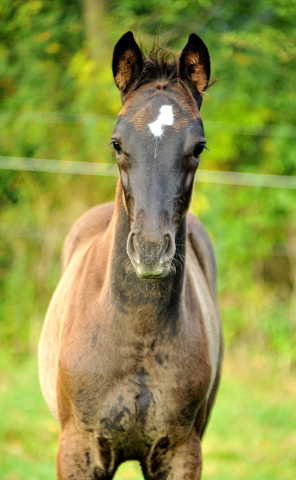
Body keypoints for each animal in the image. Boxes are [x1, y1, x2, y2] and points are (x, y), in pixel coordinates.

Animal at [40, 31, 224, 478]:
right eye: (116, 142)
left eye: (198, 147)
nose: (151, 249)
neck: (136, 336)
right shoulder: (78, 450)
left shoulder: (181, 453)